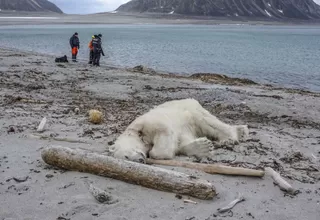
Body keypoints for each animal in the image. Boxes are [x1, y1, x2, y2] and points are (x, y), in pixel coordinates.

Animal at [110, 98, 250, 163]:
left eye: (126, 155)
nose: (140, 160)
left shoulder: (148, 123)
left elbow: (164, 134)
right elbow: (181, 141)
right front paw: (203, 147)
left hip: (190, 109)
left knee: (207, 122)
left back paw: (231, 137)